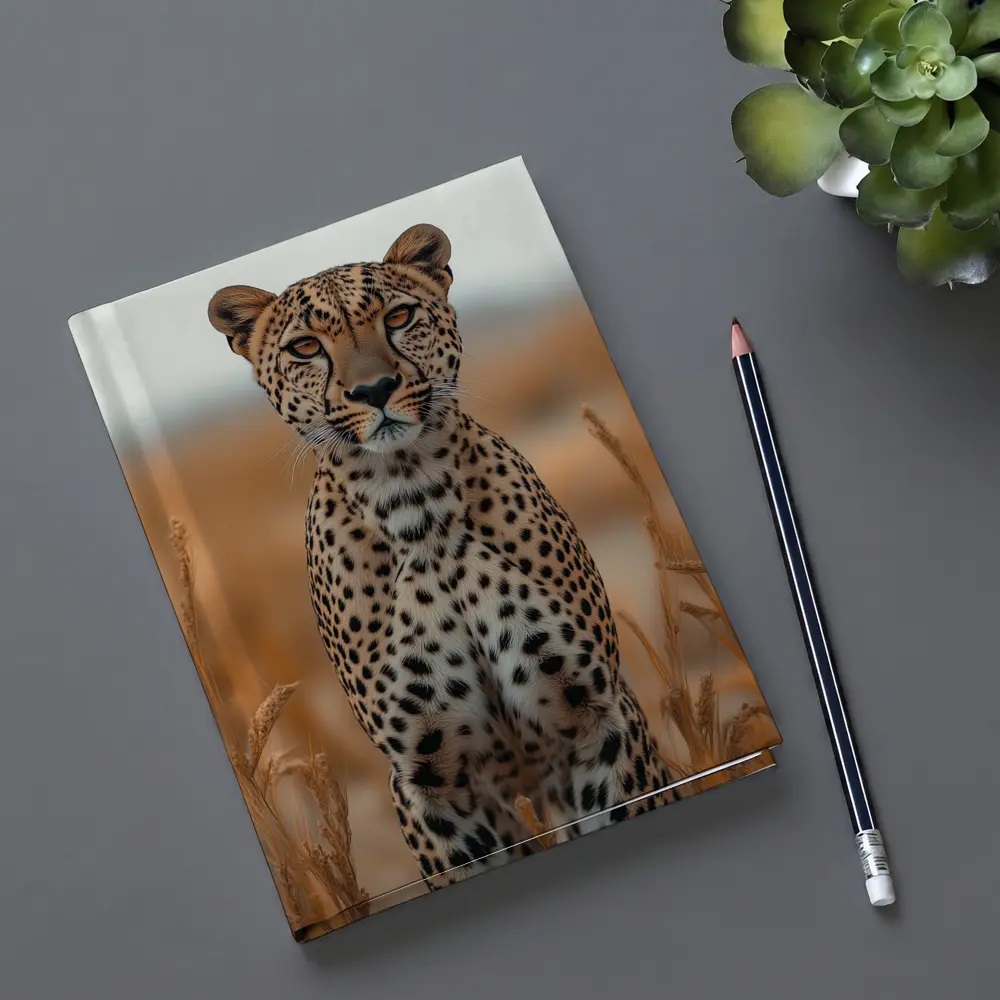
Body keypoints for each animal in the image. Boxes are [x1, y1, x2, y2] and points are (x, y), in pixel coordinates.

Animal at [208, 224, 673, 890]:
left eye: (398, 317)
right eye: (305, 347)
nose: (373, 390)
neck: (413, 500)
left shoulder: (597, 716)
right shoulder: (429, 777)